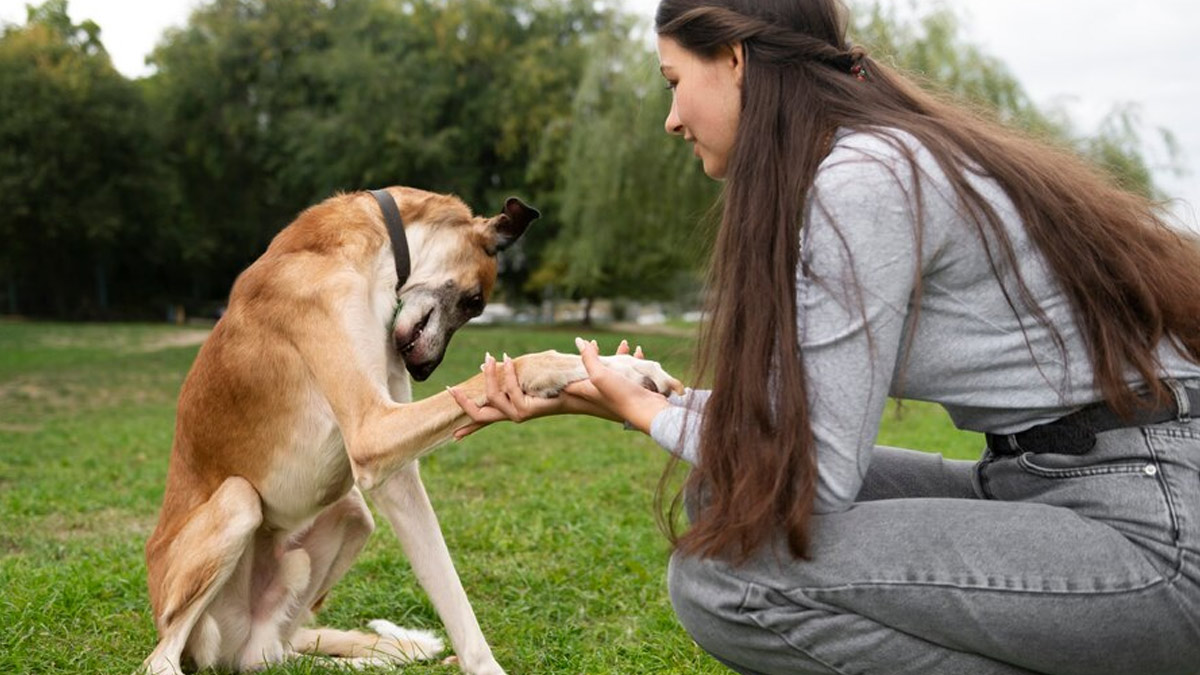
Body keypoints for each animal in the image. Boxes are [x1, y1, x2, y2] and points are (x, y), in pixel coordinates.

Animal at [138, 184, 686, 672]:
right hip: (236, 505)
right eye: (475, 301)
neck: (371, 247)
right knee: (159, 661)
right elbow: (528, 361)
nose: (424, 371)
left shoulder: (395, 473)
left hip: (350, 519)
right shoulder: (373, 432)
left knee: (270, 656)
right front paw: (621, 371)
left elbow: (454, 598)